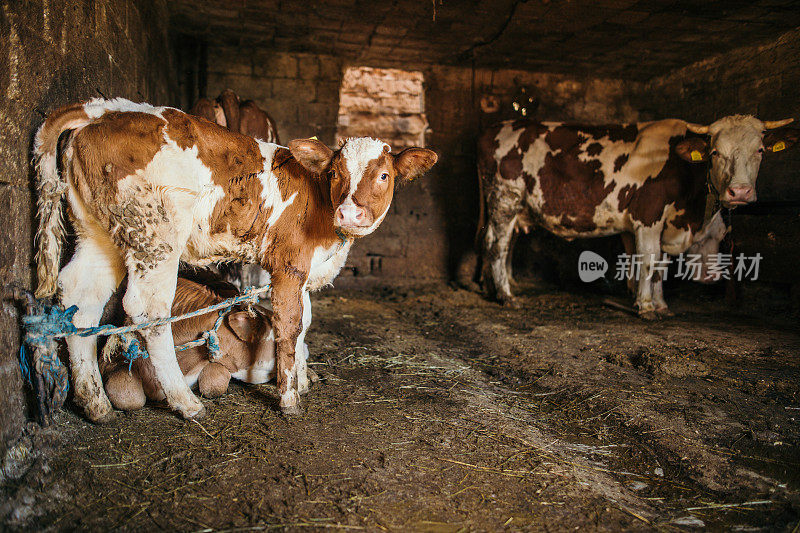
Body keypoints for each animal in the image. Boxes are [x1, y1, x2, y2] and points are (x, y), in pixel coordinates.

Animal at [478, 115, 796, 316]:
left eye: (760, 150)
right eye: (715, 152)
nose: (740, 191)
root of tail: (497, 127)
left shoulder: (666, 225)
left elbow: (661, 266)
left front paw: (662, 305)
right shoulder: (647, 216)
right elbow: (649, 260)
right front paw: (646, 307)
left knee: (497, 242)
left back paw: (495, 287)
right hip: (505, 199)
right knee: (498, 245)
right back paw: (507, 296)